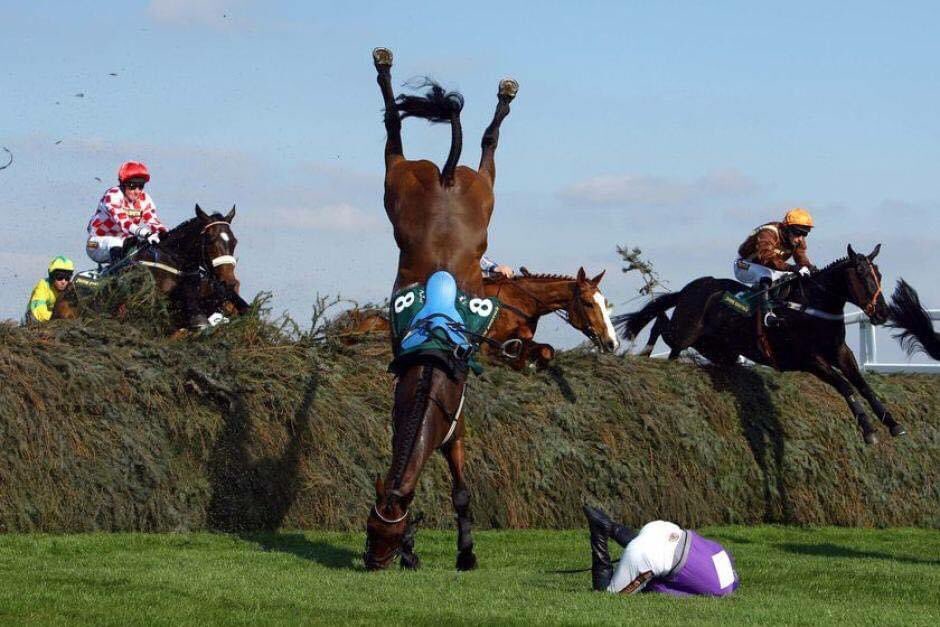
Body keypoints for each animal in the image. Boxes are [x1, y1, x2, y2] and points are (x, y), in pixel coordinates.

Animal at [363, 47, 517, 571]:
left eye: (386, 535)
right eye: (370, 529)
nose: (373, 561)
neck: (431, 374)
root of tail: (448, 176)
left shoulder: (455, 426)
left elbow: (461, 490)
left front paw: (465, 552)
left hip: (421, 184)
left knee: (417, 138)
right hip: (450, 188)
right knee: (411, 134)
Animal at [616, 244, 905, 444]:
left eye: (879, 274)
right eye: (862, 275)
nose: (882, 313)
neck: (812, 305)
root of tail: (691, 288)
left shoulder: (840, 352)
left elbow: (863, 385)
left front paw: (892, 423)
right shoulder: (809, 359)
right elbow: (845, 385)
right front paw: (868, 430)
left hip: (718, 349)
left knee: (675, 344)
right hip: (685, 331)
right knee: (660, 324)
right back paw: (645, 352)